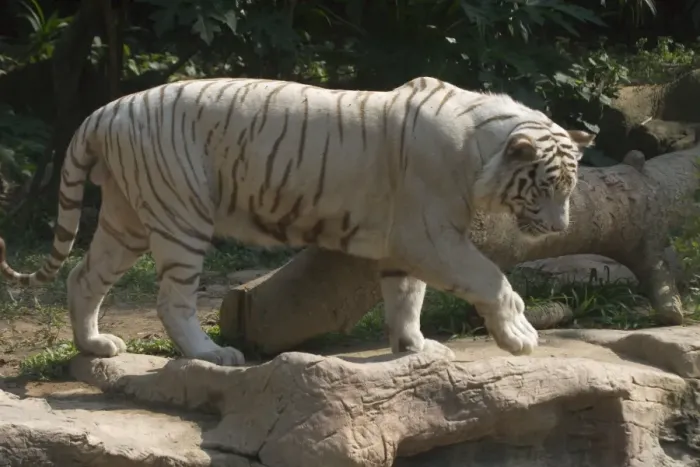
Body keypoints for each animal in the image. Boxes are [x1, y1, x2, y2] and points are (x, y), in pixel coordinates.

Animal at [0, 76, 594, 366]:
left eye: (570, 189)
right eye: (547, 187)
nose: (560, 229)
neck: (479, 150)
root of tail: (102, 112)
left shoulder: (404, 244)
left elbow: (407, 296)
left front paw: (414, 348)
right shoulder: (430, 236)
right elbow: (492, 279)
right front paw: (519, 337)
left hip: (126, 219)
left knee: (84, 278)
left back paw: (94, 346)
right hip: (180, 214)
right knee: (172, 301)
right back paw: (212, 355)